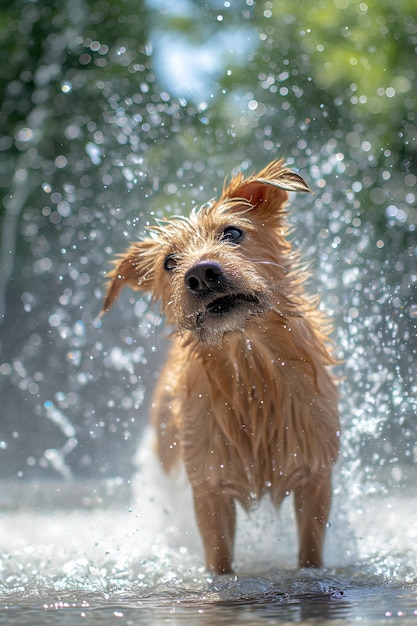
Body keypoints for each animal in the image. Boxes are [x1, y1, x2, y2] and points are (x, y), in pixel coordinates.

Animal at [102, 160, 340, 572]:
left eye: (232, 232)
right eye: (169, 262)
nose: (201, 273)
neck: (251, 363)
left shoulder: (316, 475)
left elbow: (310, 556)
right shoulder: (209, 487)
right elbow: (219, 563)